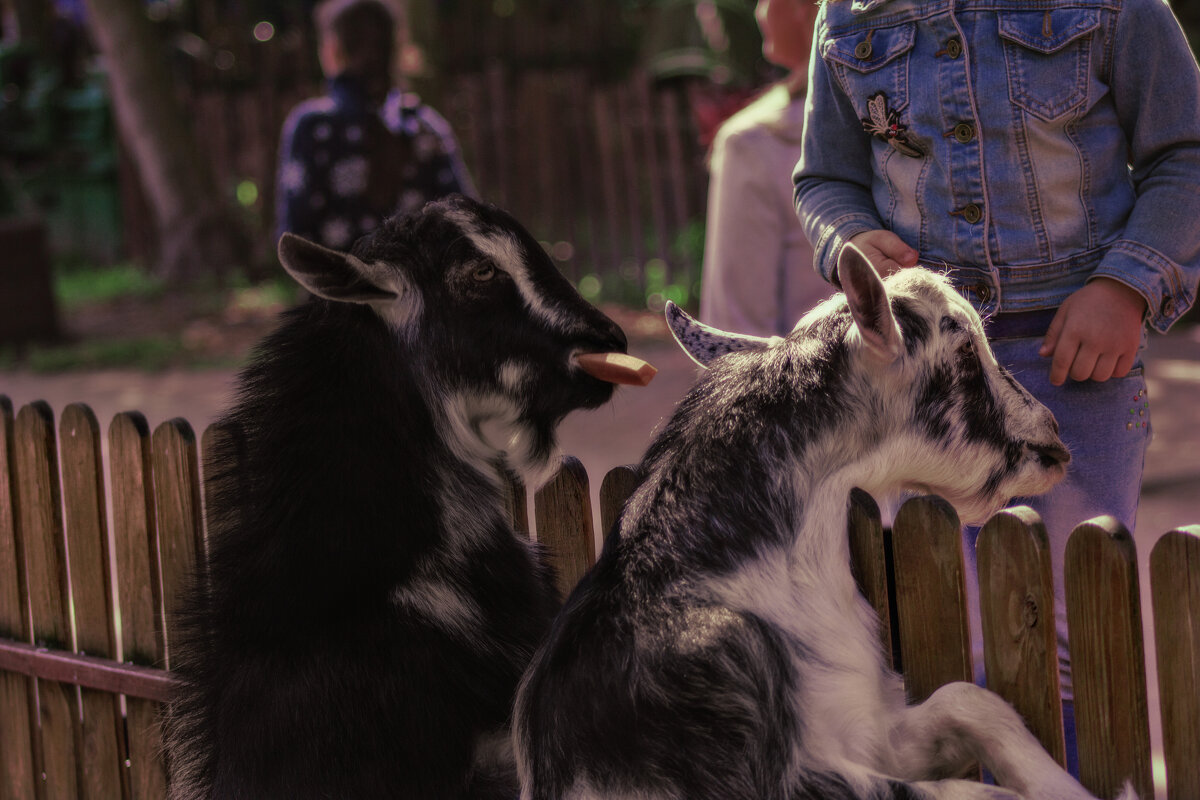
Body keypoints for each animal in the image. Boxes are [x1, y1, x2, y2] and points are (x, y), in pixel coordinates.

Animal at [516, 245, 1132, 800]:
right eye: (962, 350)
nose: (1053, 438)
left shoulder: (866, 733)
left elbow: (969, 701)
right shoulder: (793, 780)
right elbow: (974, 792)